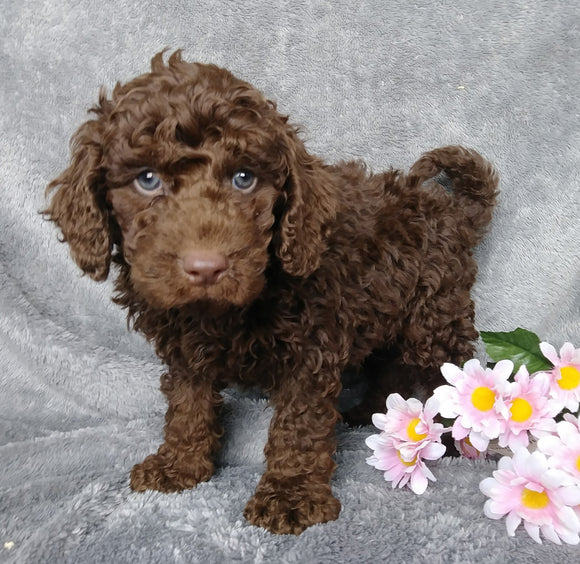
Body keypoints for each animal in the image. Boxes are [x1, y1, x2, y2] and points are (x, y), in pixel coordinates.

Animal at [45, 50, 498, 536]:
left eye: (244, 178)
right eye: (147, 180)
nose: (206, 267)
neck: (219, 311)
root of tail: (450, 210)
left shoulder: (311, 349)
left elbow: (298, 426)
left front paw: (291, 495)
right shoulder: (186, 350)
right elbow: (187, 403)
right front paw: (179, 464)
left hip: (434, 319)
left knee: (448, 371)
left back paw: (458, 437)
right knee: (386, 365)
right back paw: (371, 415)